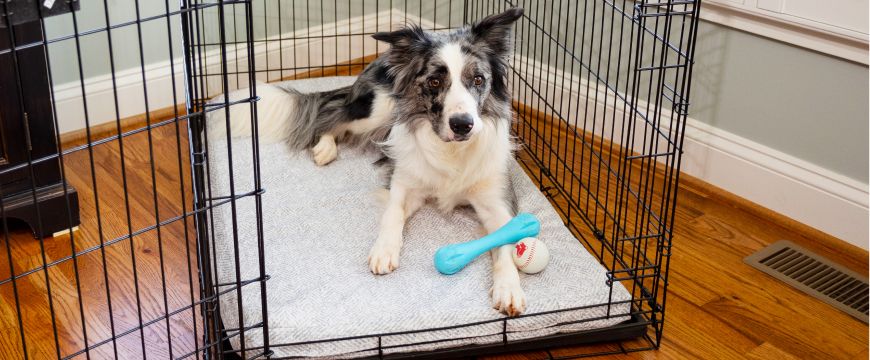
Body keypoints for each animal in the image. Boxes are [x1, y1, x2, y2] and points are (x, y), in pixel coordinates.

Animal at [216, 6, 532, 316]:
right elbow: (392, 212)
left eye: (478, 79)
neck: (450, 150)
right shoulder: (404, 181)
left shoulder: (497, 200)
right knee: (330, 117)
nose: (463, 125)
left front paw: (509, 289)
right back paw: (325, 148)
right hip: (376, 109)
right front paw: (384, 250)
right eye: (434, 81)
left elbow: (505, 239)